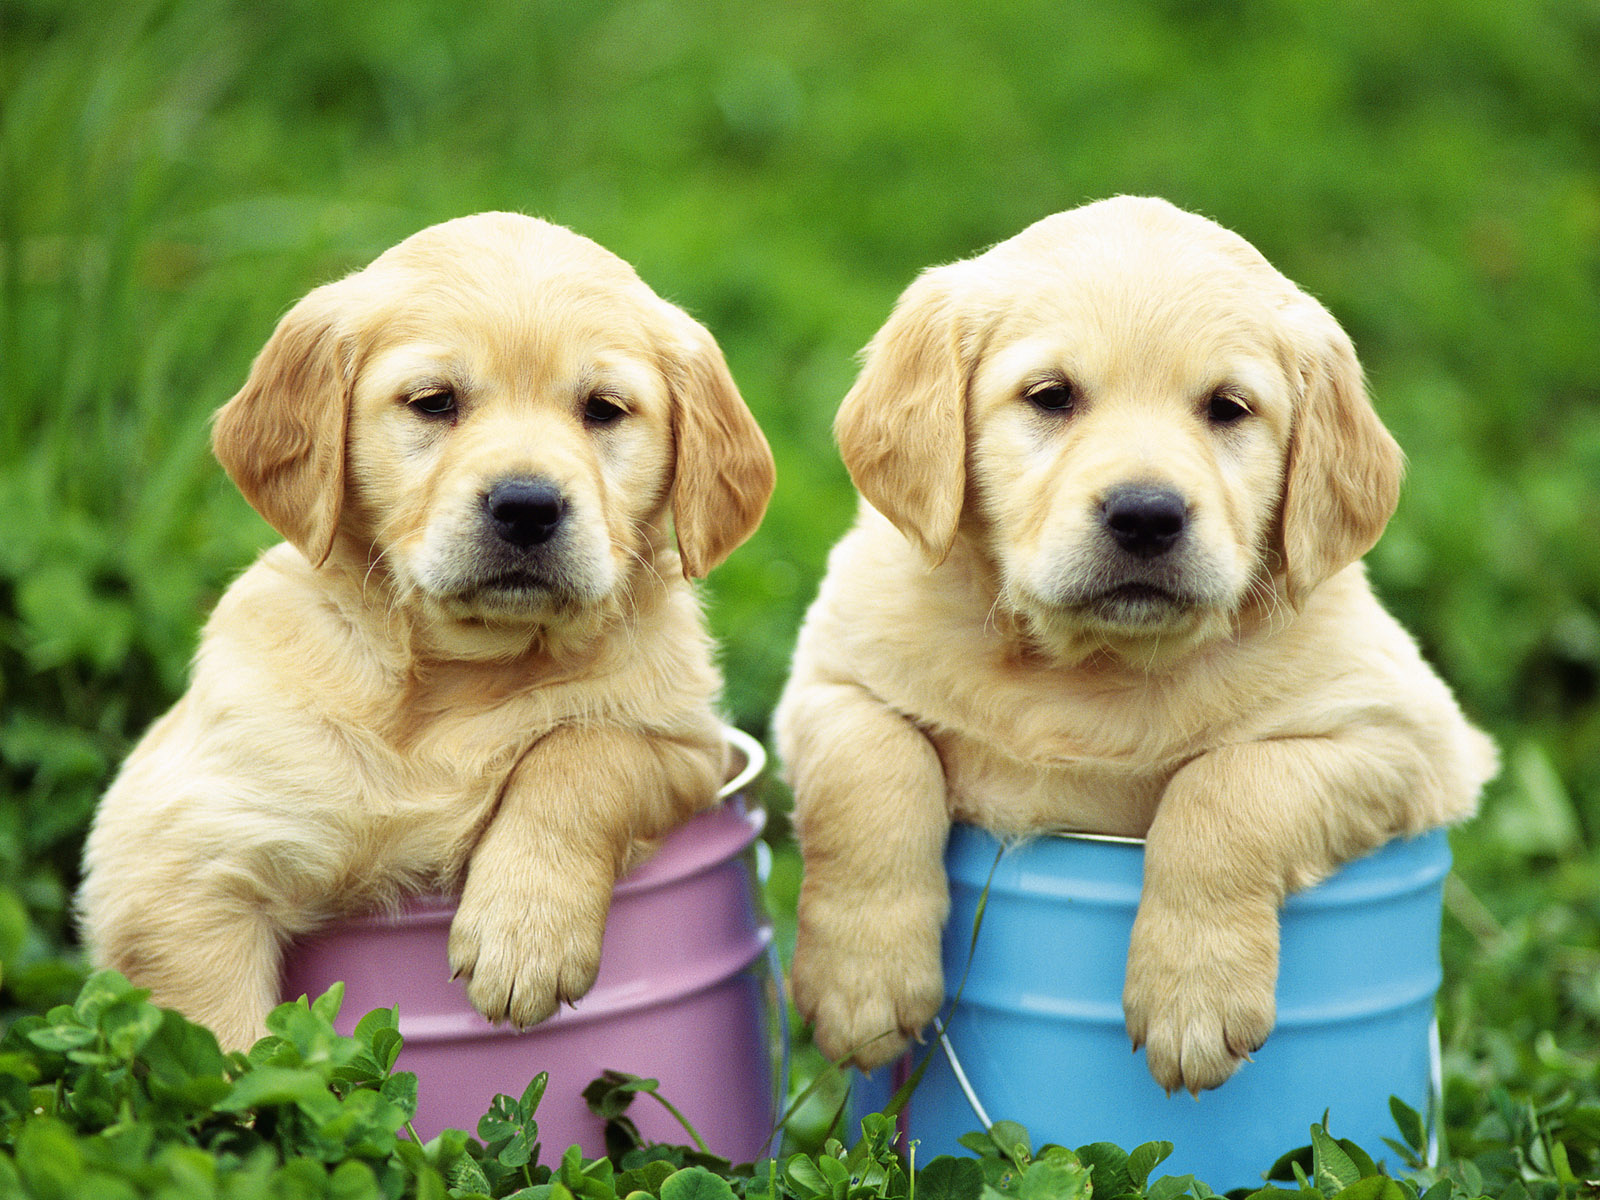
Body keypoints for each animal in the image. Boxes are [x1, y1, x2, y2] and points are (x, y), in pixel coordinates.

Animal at [81, 211, 774, 1056]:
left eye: (604, 409)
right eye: (434, 402)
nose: (527, 506)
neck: (459, 668)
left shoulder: (690, 742)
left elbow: (586, 749)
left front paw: (525, 932)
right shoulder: (176, 854)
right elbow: (221, 1044)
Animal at [774, 202, 1497, 1190]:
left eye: (1228, 408)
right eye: (1051, 396)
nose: (1147, 514)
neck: (1088, 666)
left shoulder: (1410, 735)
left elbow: (1226, 784)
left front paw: (1193, 996)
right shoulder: (827, 678)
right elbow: (872, 763)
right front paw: (862, 980)